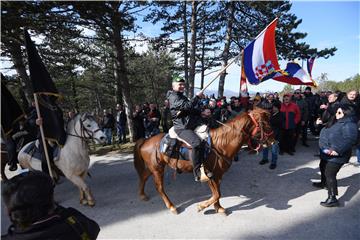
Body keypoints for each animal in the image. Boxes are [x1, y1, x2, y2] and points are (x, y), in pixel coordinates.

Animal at [134, 108, 274, 215]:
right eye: (266, 124)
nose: (273, 140)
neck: (220, 144)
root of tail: (146, 140)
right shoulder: (210, 175)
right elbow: (217, 194)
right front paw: (202, 206)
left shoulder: (217, 175)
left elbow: (217, 193)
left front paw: (219, 208)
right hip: (157, 169)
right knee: (159, 187)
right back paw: (172, 206)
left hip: (154, 168)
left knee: (144, 176)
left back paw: (142, 195)